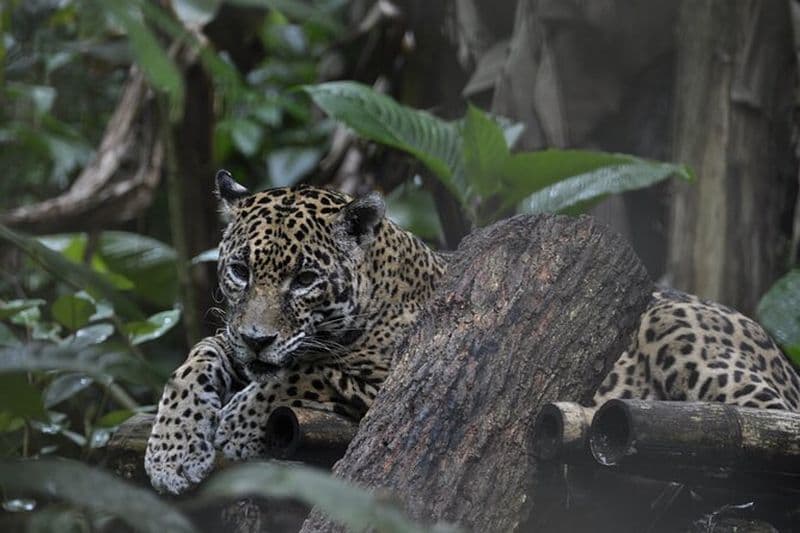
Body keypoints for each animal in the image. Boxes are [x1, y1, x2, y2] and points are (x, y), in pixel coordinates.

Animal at [145, 170, 800, 494]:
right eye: (239, 271)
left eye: (304, 279)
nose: (258, 338)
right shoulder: (231, 342)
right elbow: (197, 358)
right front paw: (171, 452)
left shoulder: (394, 379)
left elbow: (307, 370)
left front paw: (235, 423)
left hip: (692, 347)